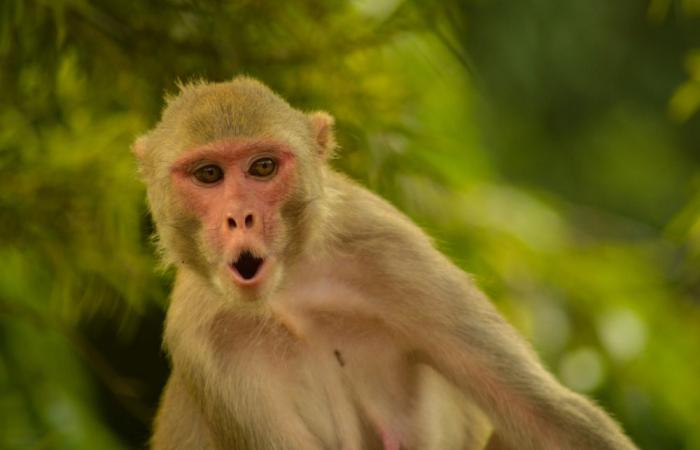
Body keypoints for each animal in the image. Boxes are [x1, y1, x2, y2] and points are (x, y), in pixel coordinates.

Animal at [133, 76, 639, 450]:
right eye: (209, 174)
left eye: (262, 167)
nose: (241, 217)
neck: (290, 290)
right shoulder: (204, 340)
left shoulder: (390, 250)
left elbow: (550, 417)